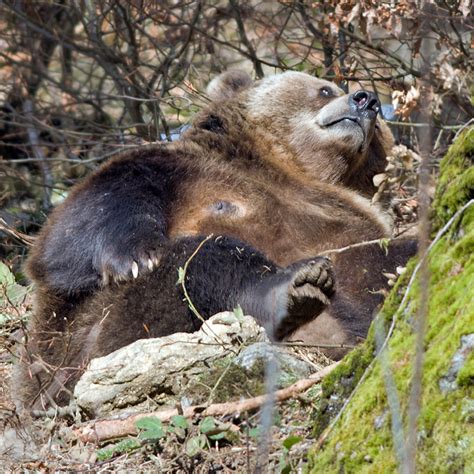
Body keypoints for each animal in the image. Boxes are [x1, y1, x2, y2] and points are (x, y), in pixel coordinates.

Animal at [12, 71, 416, 412]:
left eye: (380, 127)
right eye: (325, 89)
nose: (366, 100)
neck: (288, 166)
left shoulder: (349, 227)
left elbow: (382, 260)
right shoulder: (185, 171)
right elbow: (79, 226)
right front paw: (134, 256)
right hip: (102, 329)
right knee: (201, 261)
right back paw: (294, 288)